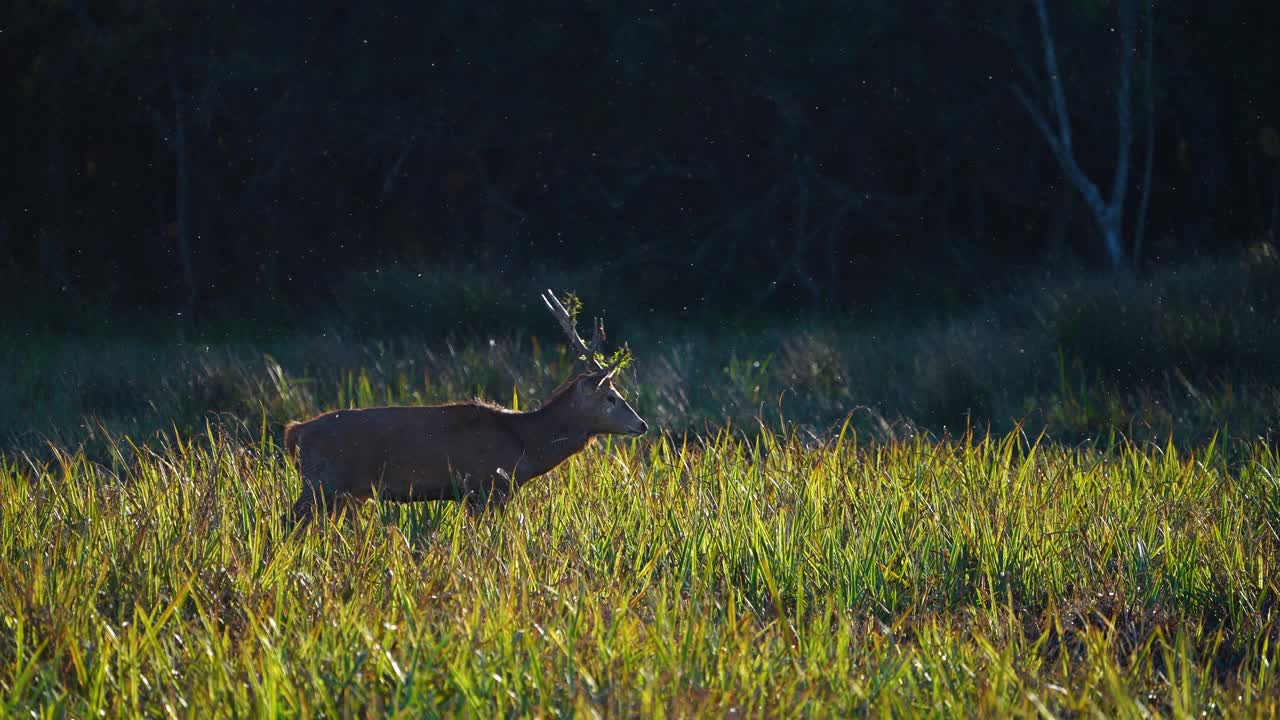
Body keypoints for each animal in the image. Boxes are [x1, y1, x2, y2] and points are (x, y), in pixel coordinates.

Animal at [276, 288, 645, 525]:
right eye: (612, 397)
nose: (641, 425)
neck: (526, 444)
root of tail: (296, 432)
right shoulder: (483, 485)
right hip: (322, 482)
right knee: (288, 521)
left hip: (345, 493)